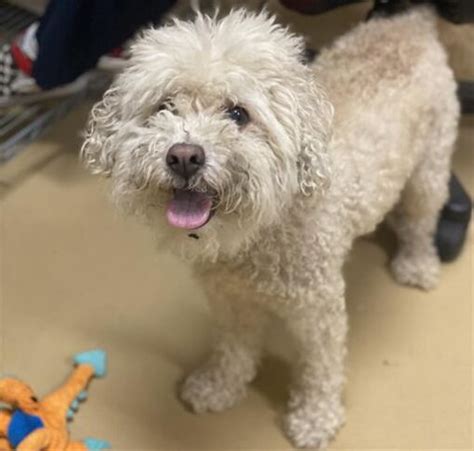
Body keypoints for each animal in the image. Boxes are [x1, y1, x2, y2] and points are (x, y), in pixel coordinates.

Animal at [81, 6, 460, 448]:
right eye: (164, 106)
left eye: (238, 114)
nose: (184, 156)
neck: (258, 234)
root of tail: (411, 21)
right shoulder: (228, 297)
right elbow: (233, 347)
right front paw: (219, 386)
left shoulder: (319, 310)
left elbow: (320, 368)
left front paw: (315, 418)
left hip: (430, 169)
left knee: (421, 221)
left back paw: (416, 264)